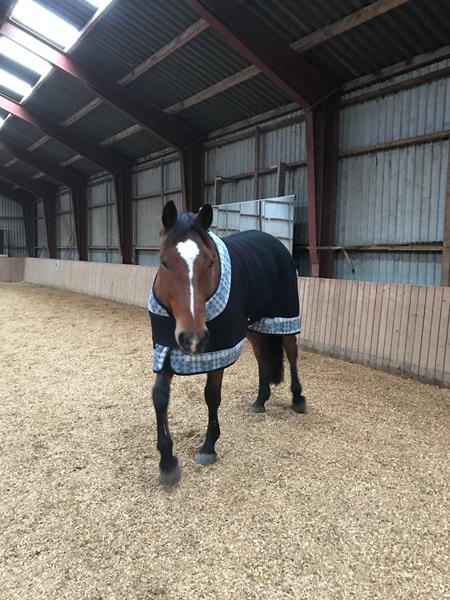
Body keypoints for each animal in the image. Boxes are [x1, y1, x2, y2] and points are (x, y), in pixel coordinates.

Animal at [148, 199, 306, 486]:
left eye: (210, 262)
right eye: (164, 262)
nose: (193, 338)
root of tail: (274, 241)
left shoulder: (218, 350)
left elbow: (211, 396)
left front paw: (208, 447)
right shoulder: (166, 348)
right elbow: (160, 397)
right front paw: (167, 462)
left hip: (285, 314)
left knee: (291, 352)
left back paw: (298, 398)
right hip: (254, 325)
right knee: (263, 358)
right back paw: (260, 401)